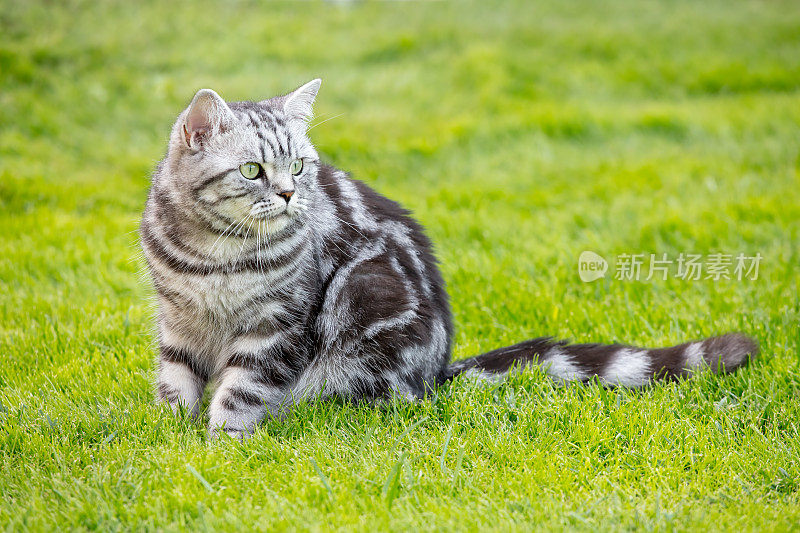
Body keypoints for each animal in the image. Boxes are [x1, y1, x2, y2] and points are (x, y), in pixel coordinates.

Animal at [141, 79, 760, 436]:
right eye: (252, 171)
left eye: (297, 165)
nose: (293, 195)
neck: (217, 253)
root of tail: (437, 371)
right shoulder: (177, 320)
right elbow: (175, 383)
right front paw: (172, 440)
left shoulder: (278, 326)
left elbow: (242, 390)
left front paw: (223, 445)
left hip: (364, 326)